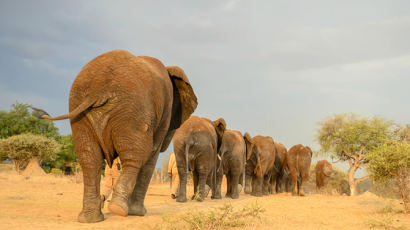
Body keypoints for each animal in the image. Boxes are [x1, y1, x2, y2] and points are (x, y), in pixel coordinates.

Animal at [33, 49, 197, 223]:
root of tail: (98, 88)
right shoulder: (165, 112)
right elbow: (152, 154)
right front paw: (138, 213)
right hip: (131, 112)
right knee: (135, 156)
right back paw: (118, 209)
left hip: (80, 110)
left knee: (89, 159)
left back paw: (91, 218)